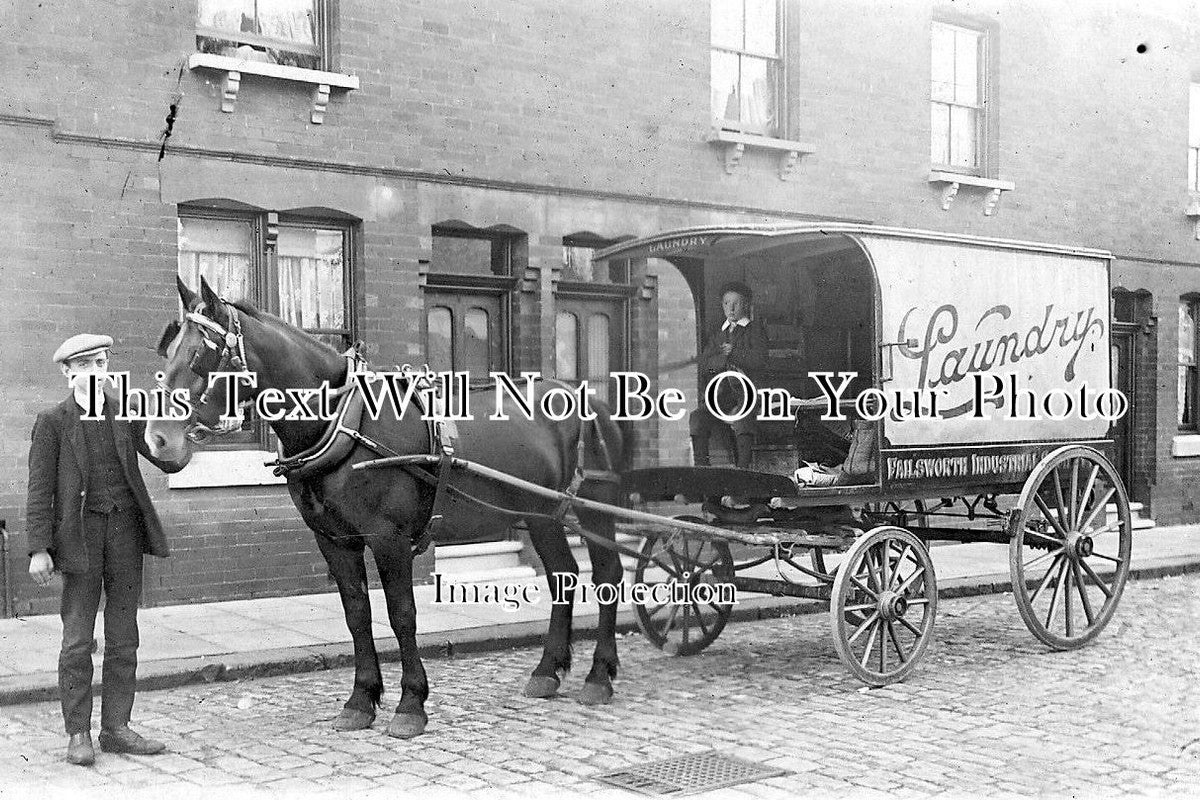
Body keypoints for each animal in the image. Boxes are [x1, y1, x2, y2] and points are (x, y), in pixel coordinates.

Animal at [145, 277, 633, 738]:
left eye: (199, 355)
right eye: (167, 351)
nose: (157, 440)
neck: (344, 420)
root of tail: (586, 394)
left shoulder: (389, 538)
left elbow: (402, 616)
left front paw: (410, 704)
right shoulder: (334, 539)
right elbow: (357, 615)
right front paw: (361, 700)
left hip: (592, 507)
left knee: (607, 575)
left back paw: (598, 675)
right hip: (540, 515)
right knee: (563, 576)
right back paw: (548, 670)